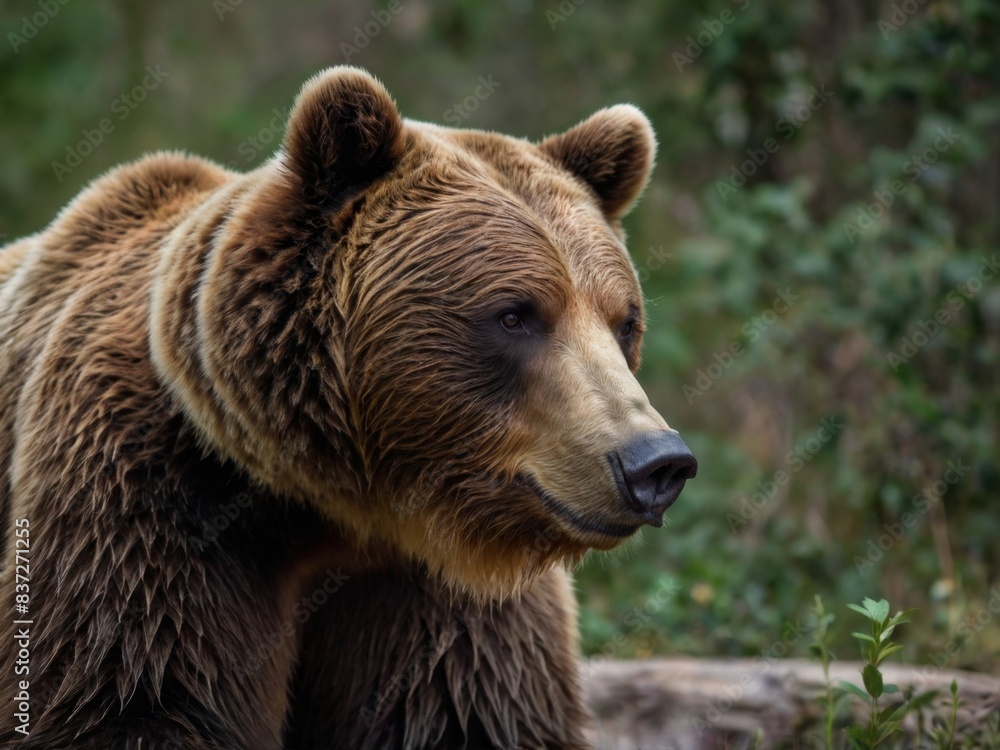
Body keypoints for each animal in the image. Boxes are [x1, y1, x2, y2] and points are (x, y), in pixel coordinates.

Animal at [0, 67, 696, 749]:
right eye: (515, 315)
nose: (655, 462)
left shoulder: (435, 593)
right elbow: (137, 696)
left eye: (623, 322)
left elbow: (465, 710)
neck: (336, 508)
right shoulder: (151, 497)